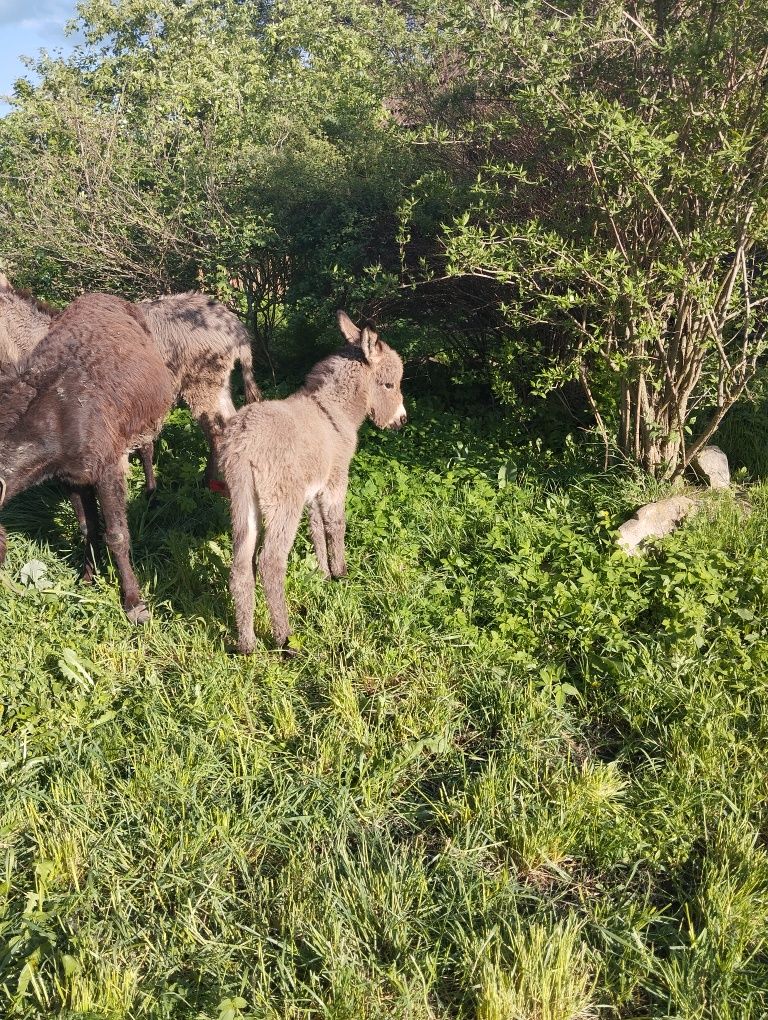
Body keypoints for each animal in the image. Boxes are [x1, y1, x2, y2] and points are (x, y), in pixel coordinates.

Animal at [218, 310, 403, 656]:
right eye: (389, 384)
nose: (401, 421)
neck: (332, 411)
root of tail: (244, 443)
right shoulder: (335, 479)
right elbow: (336, 525)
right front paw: (341, 573)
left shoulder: (313, 490)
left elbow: (317, 528)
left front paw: (323, 573)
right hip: (283, 504)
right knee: (270, 562)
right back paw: (284, 639)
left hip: (243, 503)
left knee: (240, 567)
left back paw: (247, 644)